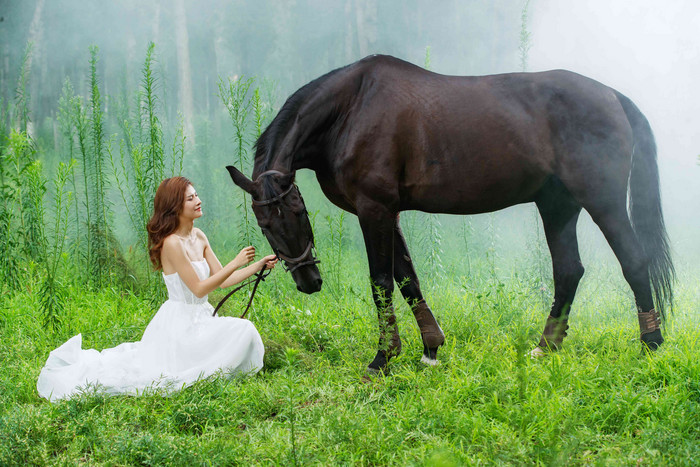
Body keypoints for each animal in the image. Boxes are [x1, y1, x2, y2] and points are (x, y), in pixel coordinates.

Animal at [227, 54, 676, 372]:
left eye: (298, 212)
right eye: (265, 224)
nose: (309, 282)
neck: (351, 110)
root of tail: (612, 96)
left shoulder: (374, 210)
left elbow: (381, 282)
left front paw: (382, 358)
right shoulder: (389, 213)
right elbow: (408, 278)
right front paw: (430, 348)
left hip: (603, 200)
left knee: (634, 261)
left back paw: (651, 344)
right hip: (558, 206)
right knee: (569, 271)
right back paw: (546, 347)